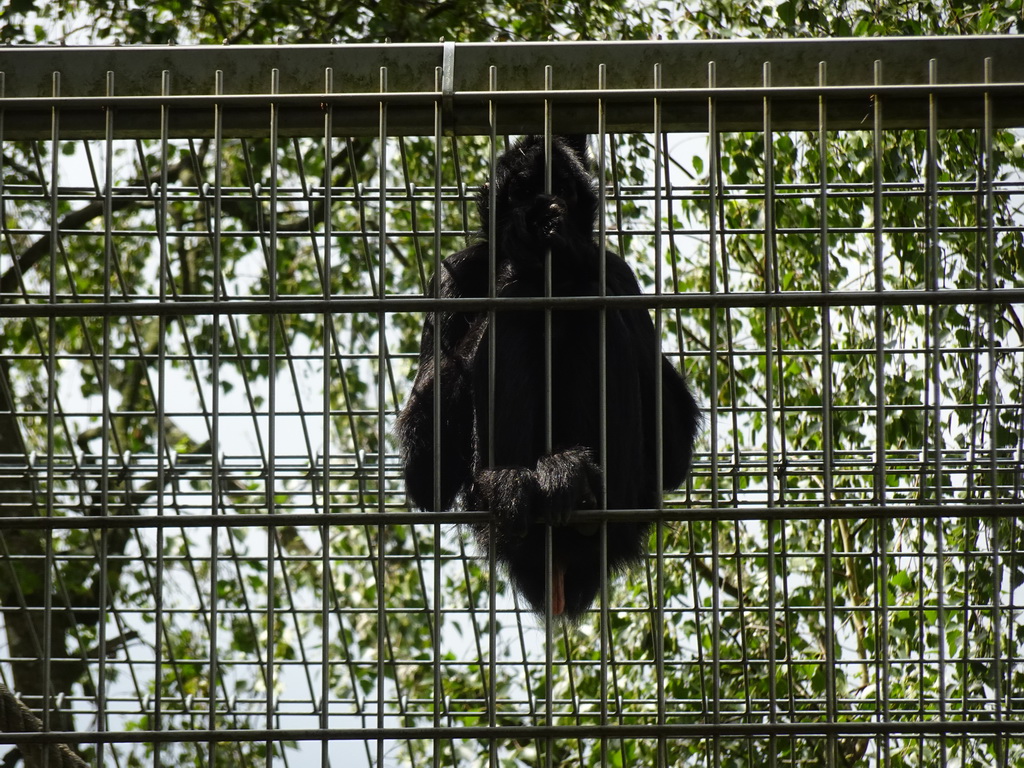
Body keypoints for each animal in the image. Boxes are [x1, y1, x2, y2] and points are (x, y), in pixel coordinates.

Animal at [395, 135, 700, 622]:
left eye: (564, 191)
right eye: (521, 191)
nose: (544, 209)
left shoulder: (617, 270)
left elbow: (674, 451)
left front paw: (565, 253)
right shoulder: (451, 275)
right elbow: (427, 479)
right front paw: (517, 267)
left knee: (593, 311)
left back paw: (581, 486)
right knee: (516, 313)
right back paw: (512, 486)